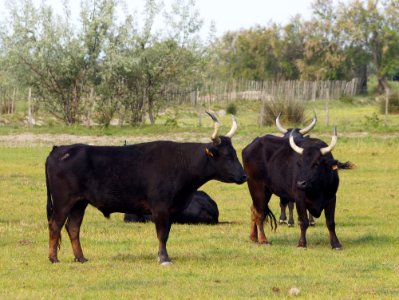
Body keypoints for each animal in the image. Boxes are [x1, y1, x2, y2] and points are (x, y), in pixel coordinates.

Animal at [46, 112, 247, 264]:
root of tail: (59, 149)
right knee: (55, 225)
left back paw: (81, 258)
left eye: (235, 153)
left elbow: (166, 233)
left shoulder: (170, 210)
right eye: (226, 156)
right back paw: (54, 258)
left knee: (73, 227)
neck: (181, 163)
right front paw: (164, 258)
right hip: (64, 201)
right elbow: (162, 234)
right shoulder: (160, 208)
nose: (244, 176)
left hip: (79, 203)